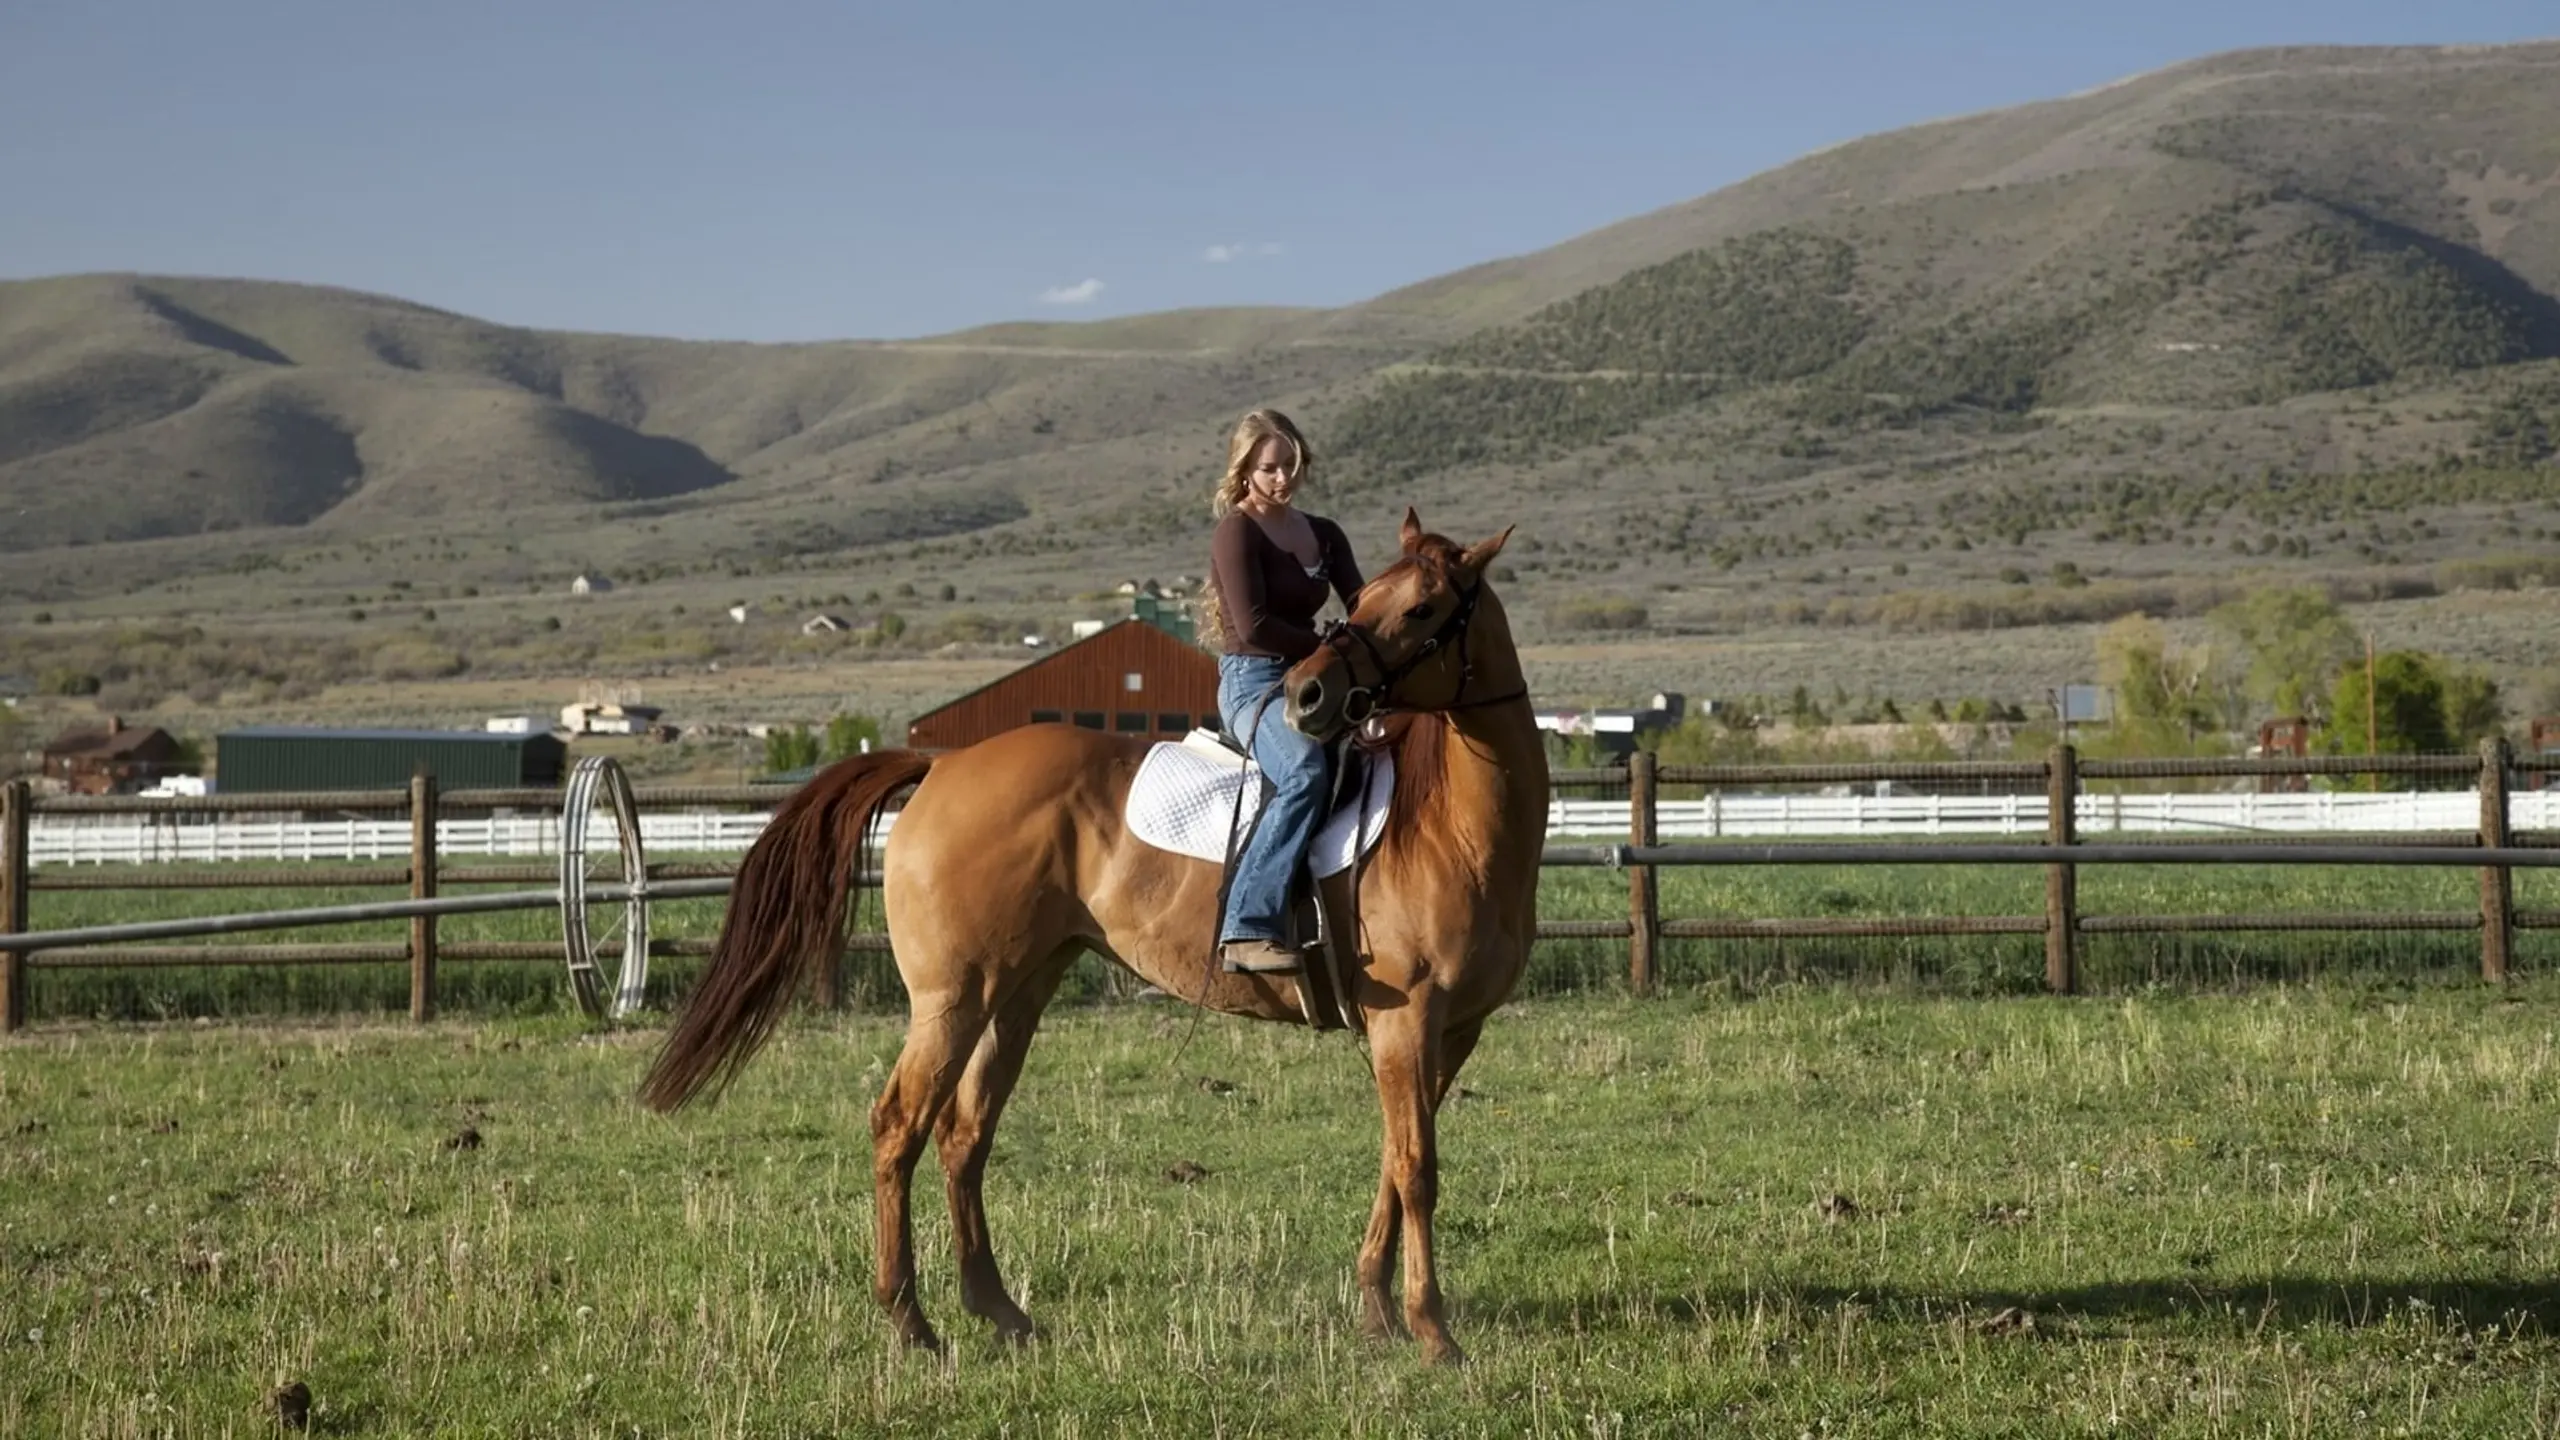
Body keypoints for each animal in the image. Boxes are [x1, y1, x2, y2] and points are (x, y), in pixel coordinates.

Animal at [650, 509, 1546, 1363]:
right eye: (1360, 605)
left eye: (1420, 608)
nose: (1309, 698)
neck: (1450, 828)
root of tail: (942, 767)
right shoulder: (1405, 1022)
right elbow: (1417, 1169)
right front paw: (1431, 1330)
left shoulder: (1452, 1030)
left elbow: (1396, 1164)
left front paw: (1376, 1313)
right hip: (952, 999)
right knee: (900, 1126)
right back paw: (910, 1321)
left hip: (1017, 992)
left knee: (964, 1136)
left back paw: (1000, 1311)